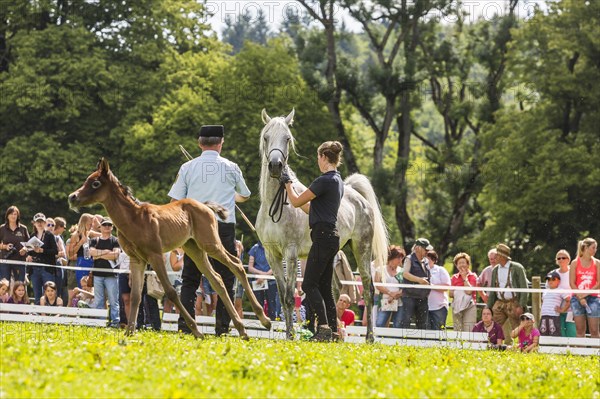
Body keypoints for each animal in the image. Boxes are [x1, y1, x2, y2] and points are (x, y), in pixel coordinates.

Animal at [67, 158, 270, 340]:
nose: (72, 197)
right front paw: (129, 332)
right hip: (194, 249)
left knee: (236, 265)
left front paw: (196, 331)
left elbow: (170, 291)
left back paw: (264, 320)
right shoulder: (136, 259)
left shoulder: (155, 255)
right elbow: (135, 296)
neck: (134, 219)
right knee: (217, 279)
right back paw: (242, 330)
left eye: (95, 183)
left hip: (210, 243)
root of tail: (205, 205)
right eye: (87, 180)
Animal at [254, 108, 390, 340]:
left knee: (369, 289)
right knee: (332, 291)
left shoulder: (290, 253)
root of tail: (355, 194)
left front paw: (291, 336)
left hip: (362, 249)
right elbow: (282, 297)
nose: (276, 166)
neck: (277, 204)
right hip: (333, 255)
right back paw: (332, 333)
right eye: (266, 137)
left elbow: (289, 297)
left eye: (287, 138)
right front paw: (290, 334)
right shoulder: (272, 255)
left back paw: (370, 337)